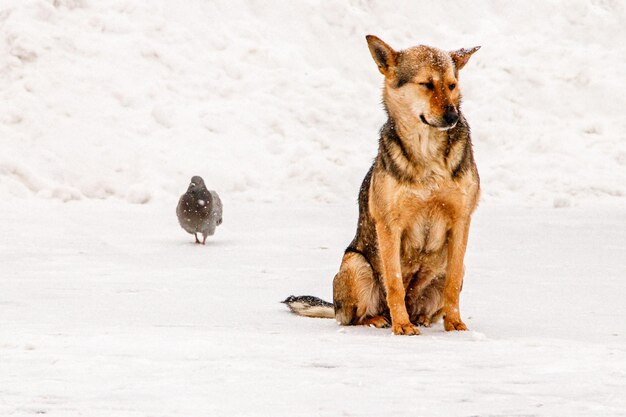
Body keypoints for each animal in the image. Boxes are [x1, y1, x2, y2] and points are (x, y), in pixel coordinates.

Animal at [282, 35, 478, 334]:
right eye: (426, 84)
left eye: (451, 85)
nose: (452, 116)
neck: (427, 151)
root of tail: (336, 306)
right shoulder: (389, 225)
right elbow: (394, 281)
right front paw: (402, 326)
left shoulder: (460, 221)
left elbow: (452, 283)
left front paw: (455, 324)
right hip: (355, 264)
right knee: (356, 316)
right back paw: (381, 319)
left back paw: (420, 318)